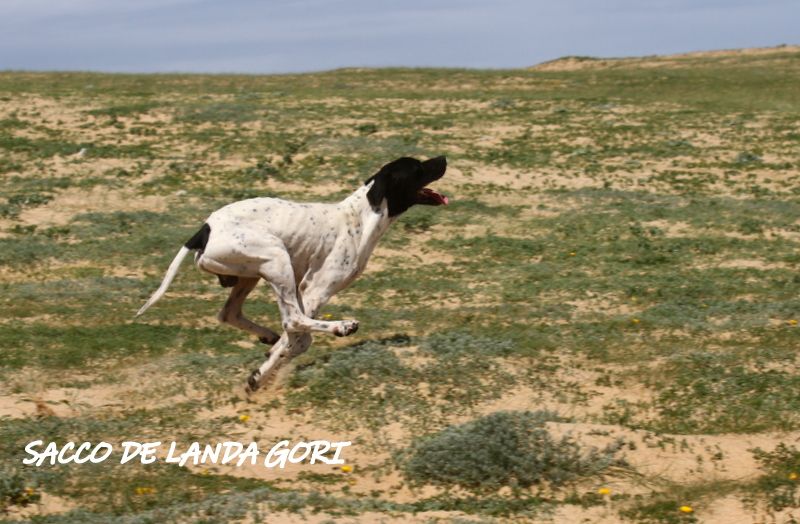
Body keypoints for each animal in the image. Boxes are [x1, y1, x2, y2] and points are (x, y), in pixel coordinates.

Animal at [138, 155, 450, 388]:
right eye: (418, 168)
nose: (443, 158)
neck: (361, 217)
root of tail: (204, 229)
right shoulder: (314, 290)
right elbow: (297, 336)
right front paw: (261, 374)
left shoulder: (303, 290)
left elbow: (295, 340)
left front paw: (268, 361)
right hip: (276, 258)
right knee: (291, 320)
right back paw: (341, 326)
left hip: (252, 274)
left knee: (230, 313)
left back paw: (267, 336)